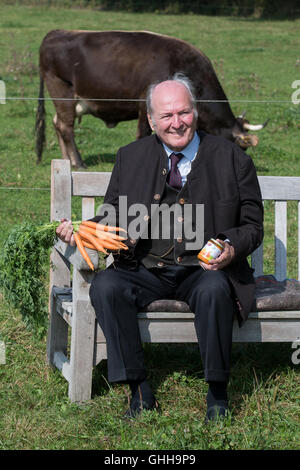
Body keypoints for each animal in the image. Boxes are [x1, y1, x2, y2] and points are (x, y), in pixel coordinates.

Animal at [35, 28, 268, 168]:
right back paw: (78, 162)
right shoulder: (143, 106)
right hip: (62, 90)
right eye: (241, 147)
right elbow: (142, 136)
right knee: (66, 127)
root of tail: (55, 33)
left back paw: (66, 160)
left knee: (58, 123)